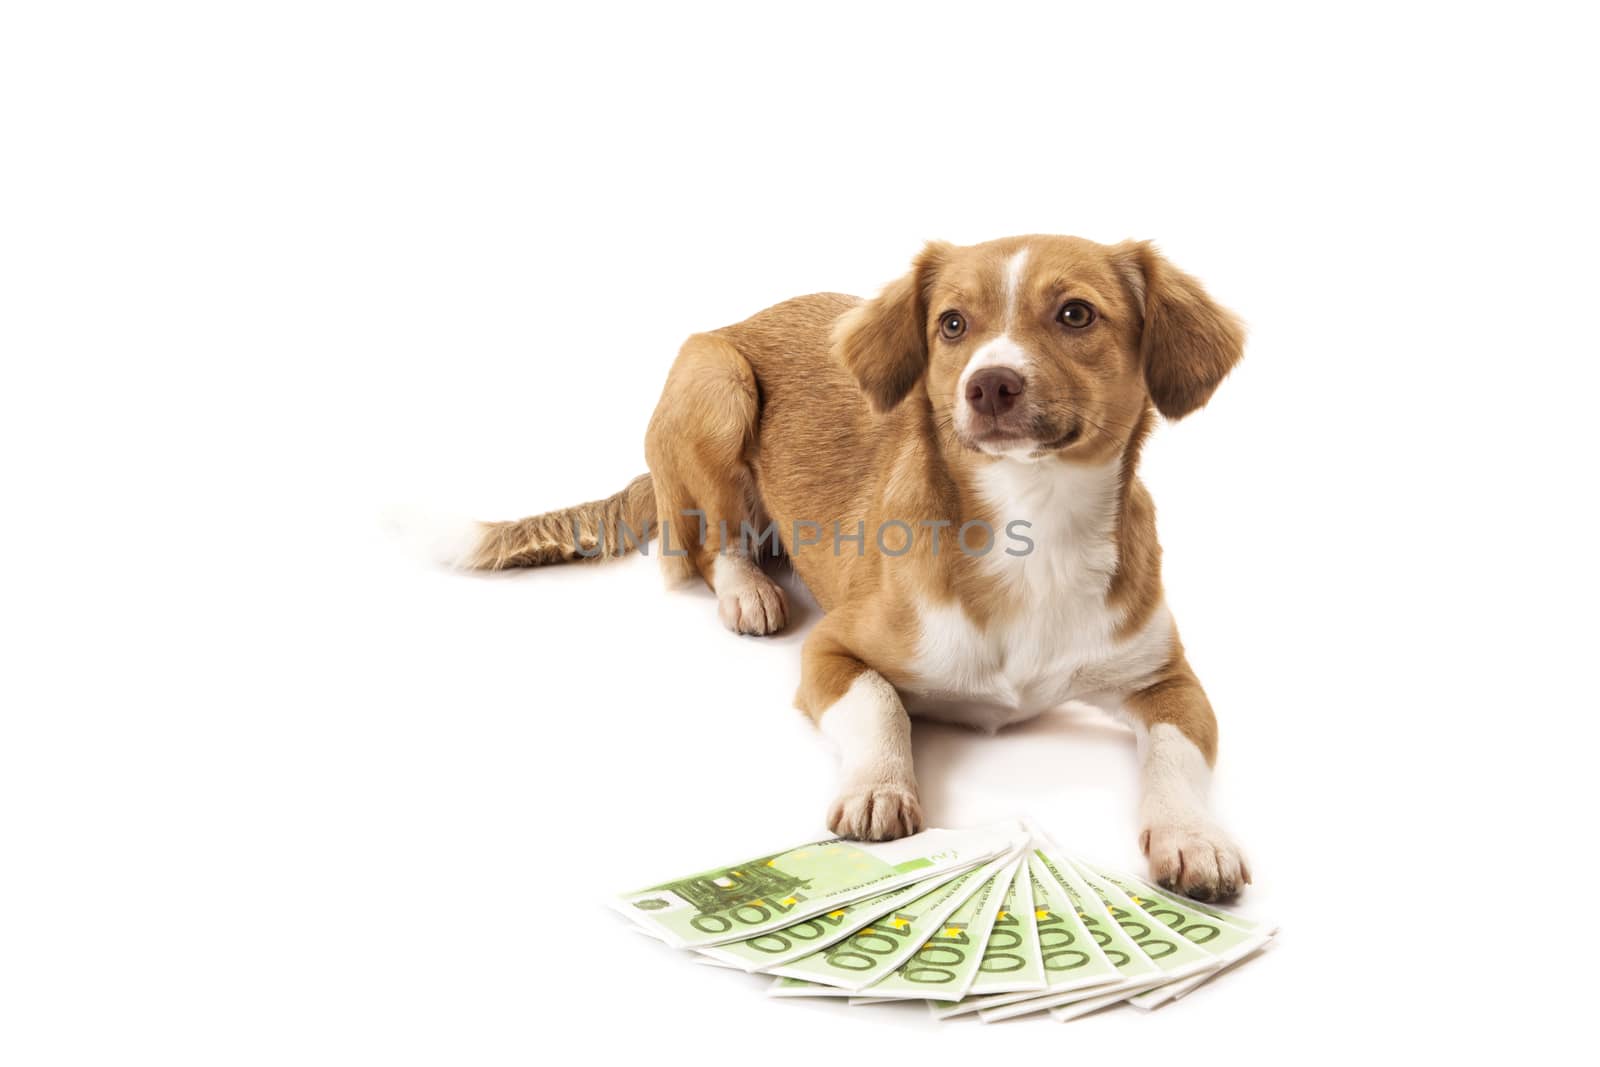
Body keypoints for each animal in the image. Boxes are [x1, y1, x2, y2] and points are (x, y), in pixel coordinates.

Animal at [432, 233, 1241, 902]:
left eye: (1076, 314)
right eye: (952, 324)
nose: (989, 385)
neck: (1030, 526)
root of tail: (739, 321)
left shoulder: (1167, 679)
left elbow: (1176, 753)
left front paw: (1192, 837)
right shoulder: (832, 648)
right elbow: (880, 702)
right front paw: (879, 787)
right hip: (716, 383)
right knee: (713, 541)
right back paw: (749, 592)